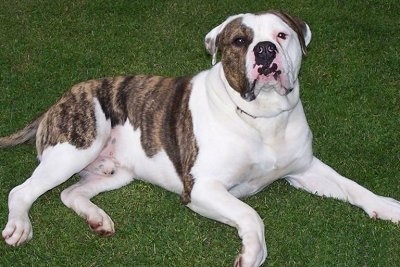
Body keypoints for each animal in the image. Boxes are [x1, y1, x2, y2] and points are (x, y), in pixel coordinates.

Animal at [0, 9, 400, 266]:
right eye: (239, 40)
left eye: (281, 35)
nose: (265, 50)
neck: (263, 118)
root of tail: (58, 101)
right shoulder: (203, 188)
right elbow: (251, 215)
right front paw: (252, 253)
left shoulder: (305, 169)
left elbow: (352, 187)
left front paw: (388, 206)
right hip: (78, 146)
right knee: (22, 191)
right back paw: (20, 225)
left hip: (116, 171)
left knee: (70, 193)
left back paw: (97, 218)